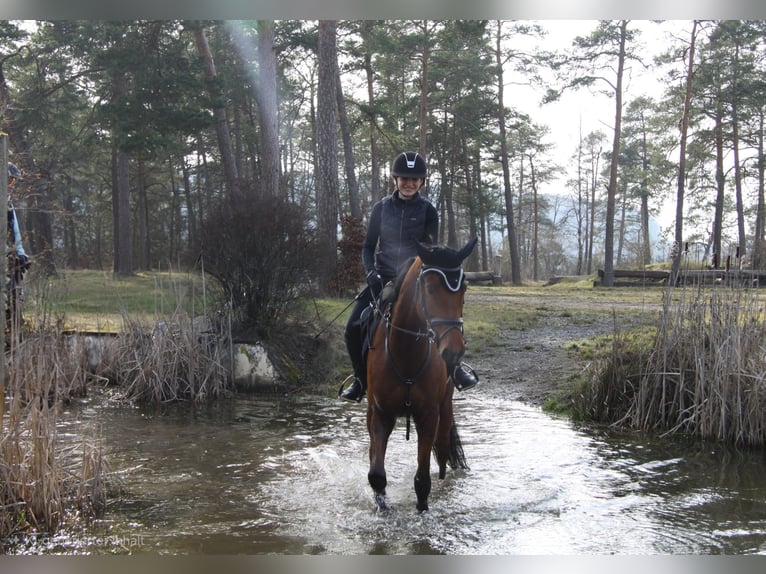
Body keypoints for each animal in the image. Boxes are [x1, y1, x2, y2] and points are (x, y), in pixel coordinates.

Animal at [365, 237, 477, 512]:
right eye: (430, 288)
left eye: (464, 288)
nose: (453, 351)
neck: (406, 353)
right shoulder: (381, 413)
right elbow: (377, 476)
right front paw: (382, 508)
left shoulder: (428, 415)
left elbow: (423, 481)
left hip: (445, 408)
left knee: (443, 457)